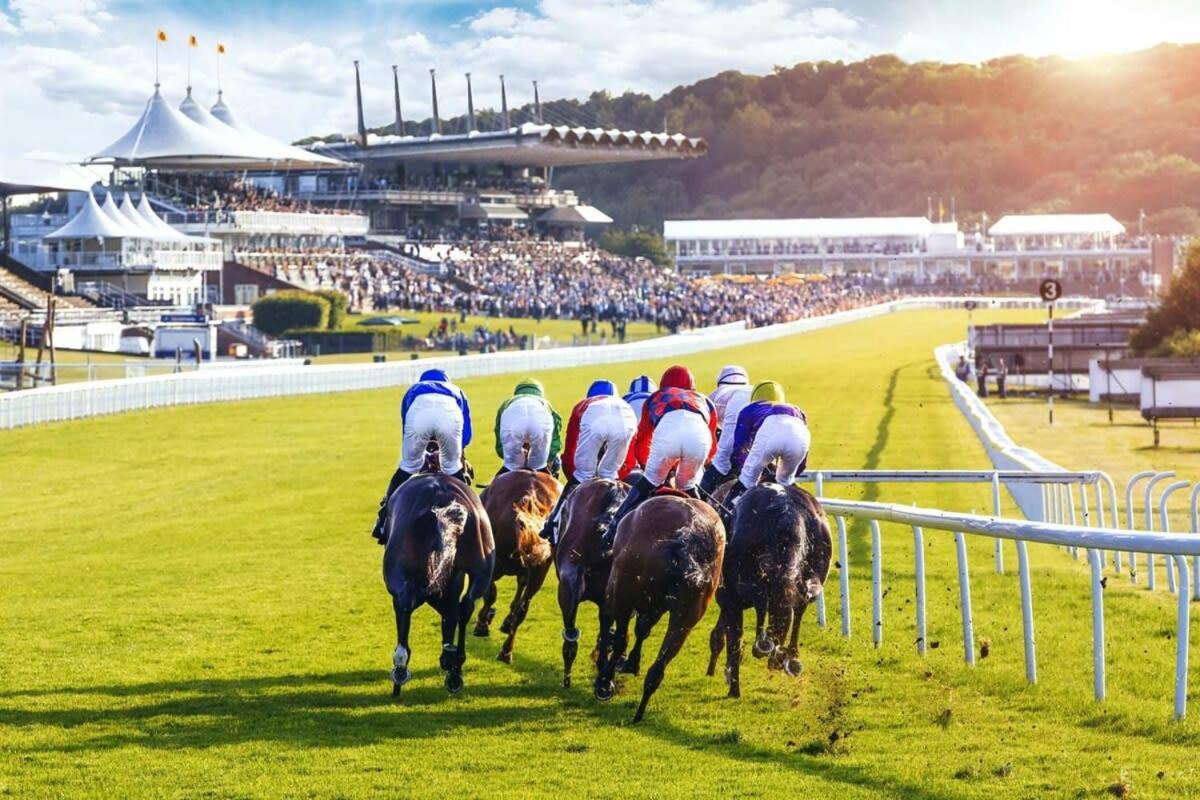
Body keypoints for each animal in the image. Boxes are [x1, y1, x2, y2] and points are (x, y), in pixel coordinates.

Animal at [386, 470, 494, 695]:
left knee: (405, 604)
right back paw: (455, 665)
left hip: (397, 575)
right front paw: (449, 660)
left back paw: (400, 668)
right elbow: (451, 615)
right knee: (465, 606)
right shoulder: (453, 580)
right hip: (482, 568)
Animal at [590, 494, 720, 724]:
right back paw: (640, 710)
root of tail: (690, 534)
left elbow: (612, 629)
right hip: (686, 618)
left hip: (622, 593)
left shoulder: (616, 593)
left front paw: (606, 674)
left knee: (620, 638)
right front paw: (632, 662)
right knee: (659, 667)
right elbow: (642, 629)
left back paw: (605, 683)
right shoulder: (656, 606)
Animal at [705, 484, 830, 695]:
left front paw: (730, 680)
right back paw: (783, 656)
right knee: (792, 608)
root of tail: (787, 512)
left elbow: (731, 637)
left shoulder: (729, 597)